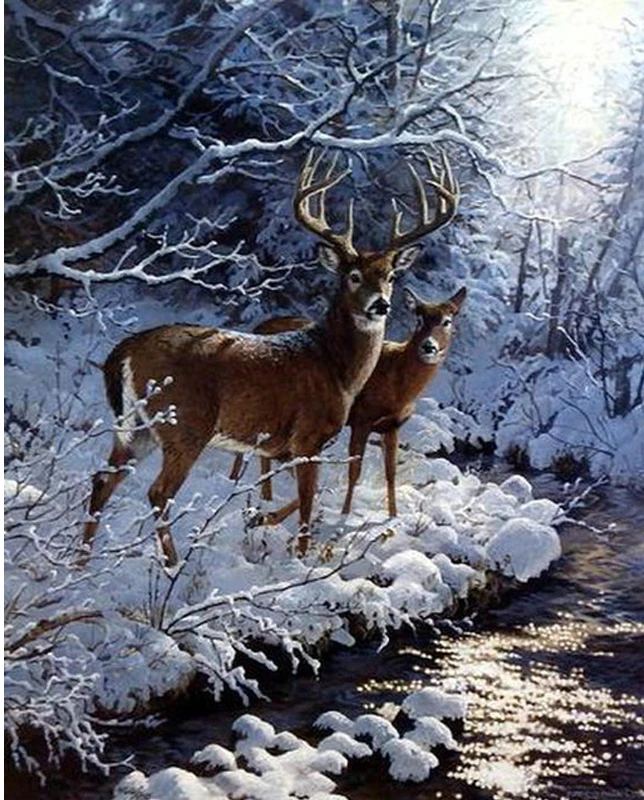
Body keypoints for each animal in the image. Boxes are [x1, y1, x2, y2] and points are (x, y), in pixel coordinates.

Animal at [231, 285, 465, 518]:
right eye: (419, 319)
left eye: (447, 321)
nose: (428, 347)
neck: (398, 385)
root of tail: (257, 327)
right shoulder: (362, 418)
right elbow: (354, 471)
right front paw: (344, 513)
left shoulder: (392, 426)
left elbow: (391, 473)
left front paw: (393, 515)